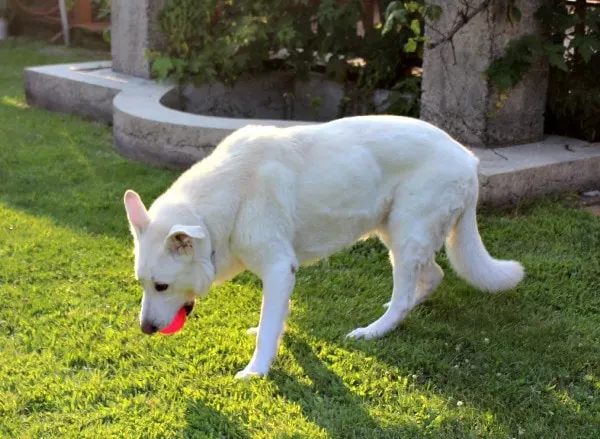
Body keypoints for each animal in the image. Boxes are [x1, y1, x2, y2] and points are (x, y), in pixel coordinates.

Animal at [124, 116, 524, 378]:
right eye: (143, 284)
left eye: (162, 286)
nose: (145, 330)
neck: (226, 199)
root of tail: (468, 158)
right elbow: (273, 318)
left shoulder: (279, 269)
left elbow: (268, 328)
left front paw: (256, 370)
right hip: (397, 234)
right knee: (431, 276)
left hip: (406, 235)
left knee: (409, 289)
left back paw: (375, 330)